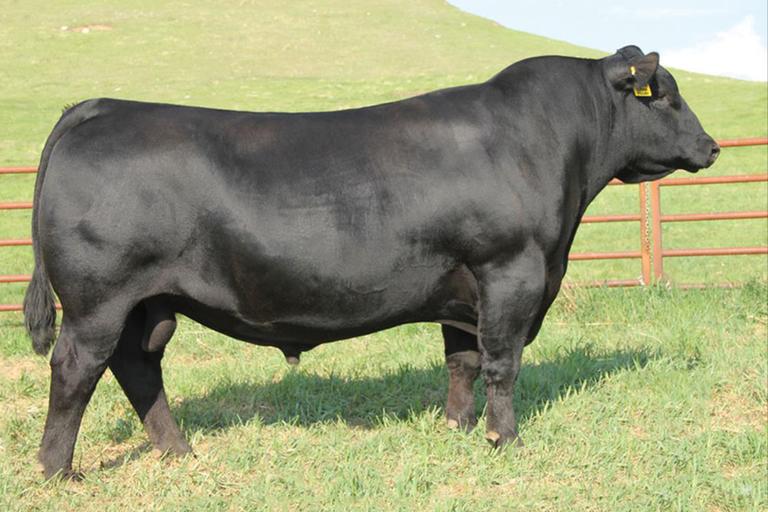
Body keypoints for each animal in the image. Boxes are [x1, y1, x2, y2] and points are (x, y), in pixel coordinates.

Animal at [24, 46, 719, 479]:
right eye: (665, 96)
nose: (711, 146)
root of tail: (102, 105)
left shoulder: (461, 291)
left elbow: (463, 362)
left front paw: (457, 429)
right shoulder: (511, 271)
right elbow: (502, 364)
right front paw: (506, 440)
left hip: (150, 303)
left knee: (138, 367)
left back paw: (179, 453)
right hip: (98, 300)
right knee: (77, 368)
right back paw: (59, 472)